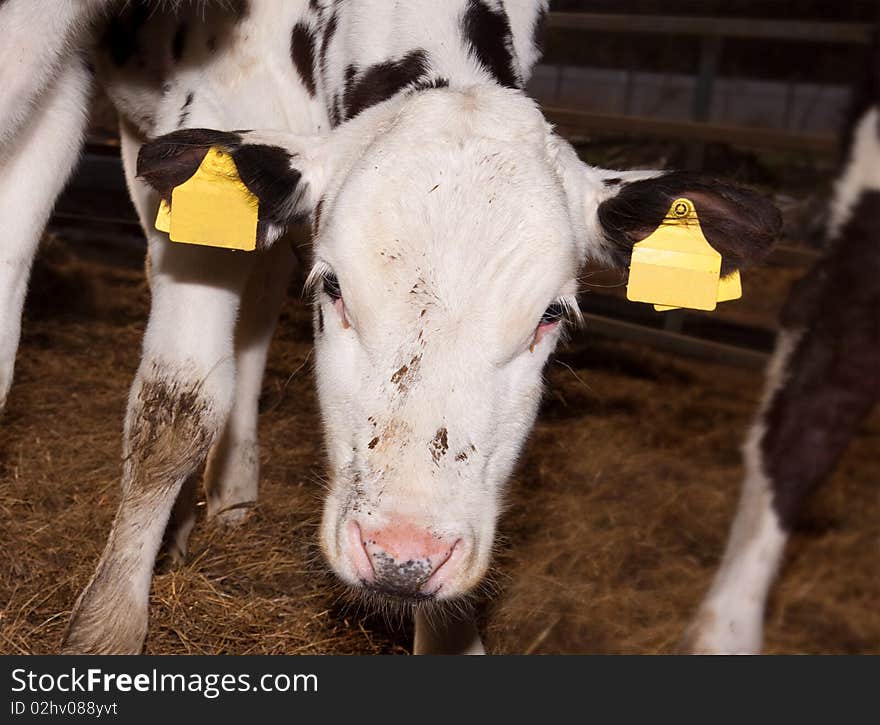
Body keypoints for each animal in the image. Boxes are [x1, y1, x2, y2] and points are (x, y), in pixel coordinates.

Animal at [1, 1, 784, 656]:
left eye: (550, 316)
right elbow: (177, 408)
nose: (402, 558)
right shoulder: (208, 130)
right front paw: (105, 629)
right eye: (335, 289)